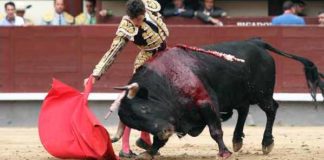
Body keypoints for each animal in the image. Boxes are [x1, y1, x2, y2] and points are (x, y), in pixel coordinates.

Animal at [112, 37, 324, 159]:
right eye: (135, 122)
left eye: (144, 109)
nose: (165, 131)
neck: (167, 80)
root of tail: (256, 42)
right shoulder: (172, 118)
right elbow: (158, 139)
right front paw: (149, 152)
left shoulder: (206, 103)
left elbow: (215, 130)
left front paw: (224, 153)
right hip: (239, 94)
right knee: (243, 110)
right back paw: (237, 139)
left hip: (262, 94)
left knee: (272, 109)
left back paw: (266, 142)